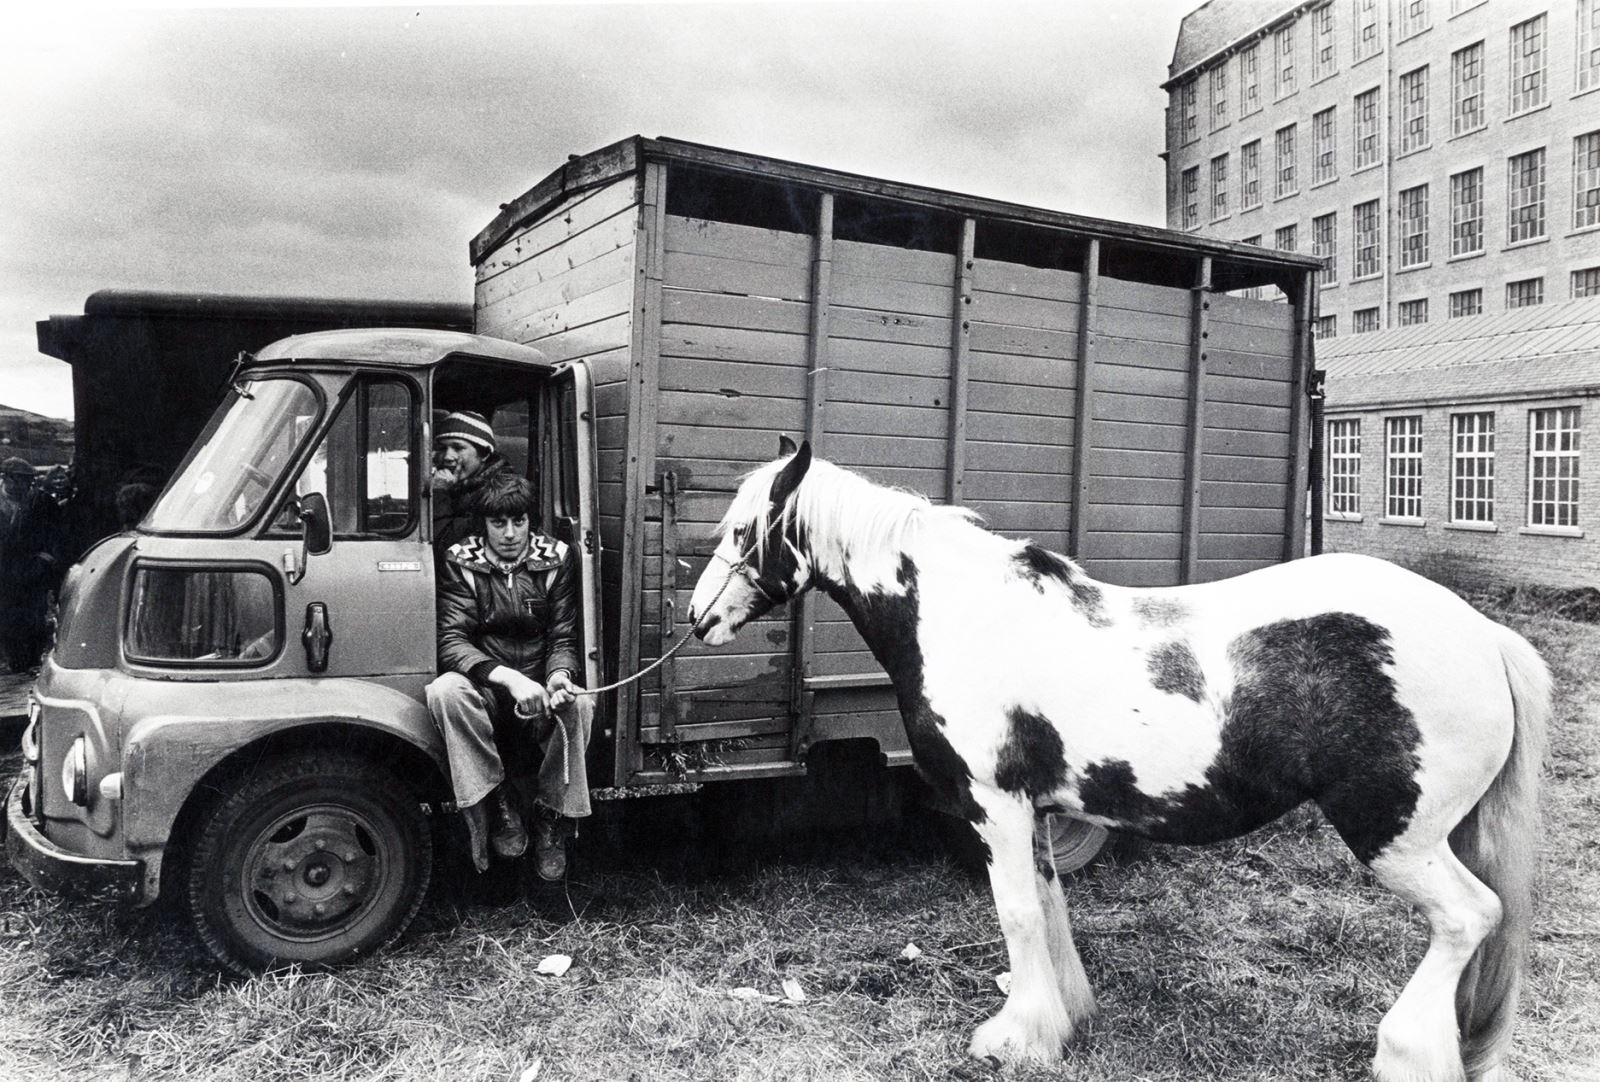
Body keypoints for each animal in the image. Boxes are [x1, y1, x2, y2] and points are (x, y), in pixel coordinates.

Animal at [688, 435, 1548, 1075]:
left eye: (742, 531)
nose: (698, 619)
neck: (967, 615)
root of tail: (1484, 636)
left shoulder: (993, 805)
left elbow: (1016, 913)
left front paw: (1013, 1040)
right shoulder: (1034, 811)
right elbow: (1047, 910)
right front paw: (1059, 1020)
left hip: (1396, 834)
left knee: (1470, 917)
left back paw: (1406, 1051)